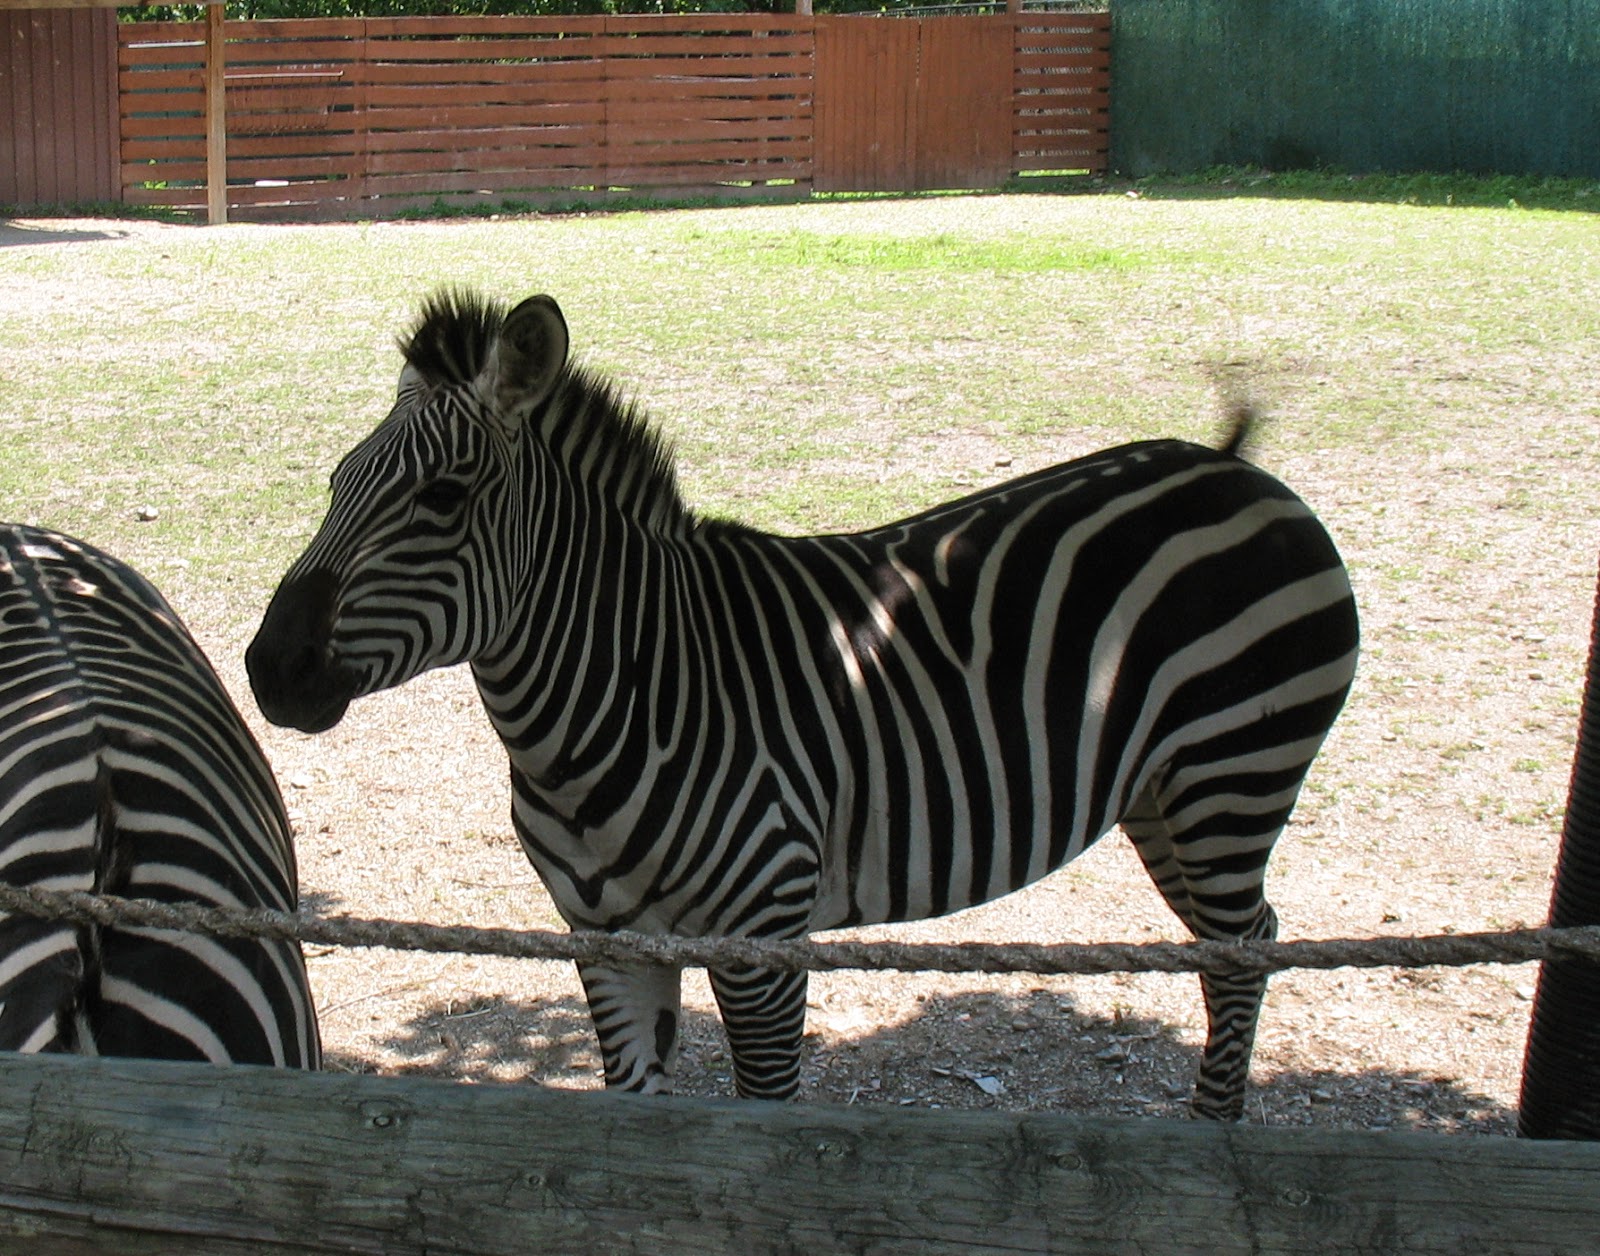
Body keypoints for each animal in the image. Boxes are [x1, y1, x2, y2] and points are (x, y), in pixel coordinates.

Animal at [243, 291, 1356, 1120]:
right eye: (335, 482)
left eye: (442, 498)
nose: (265, 667)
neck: (622, 692)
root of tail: (1230, 463)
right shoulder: (606, 942)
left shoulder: (764, 936)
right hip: (1163, 794)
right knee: (1239, 941)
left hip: (1232, 777)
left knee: (1243, 948)